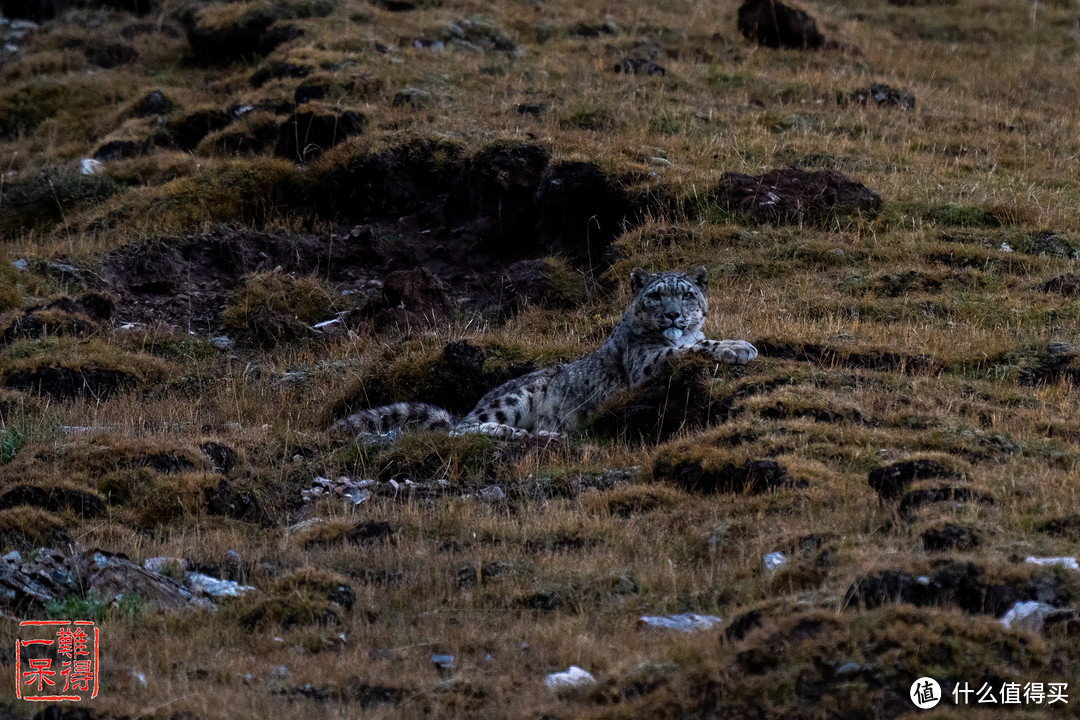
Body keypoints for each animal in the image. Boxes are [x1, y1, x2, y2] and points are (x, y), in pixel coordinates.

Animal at [332, 267, 756, 442]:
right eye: (655, 295)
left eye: (686, 294)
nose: (672, 315)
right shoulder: (644, 364)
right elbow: (695, 346)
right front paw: (740, 347)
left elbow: (695, 342)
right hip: (514, 399)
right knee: (460, 429)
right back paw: (507, 430)